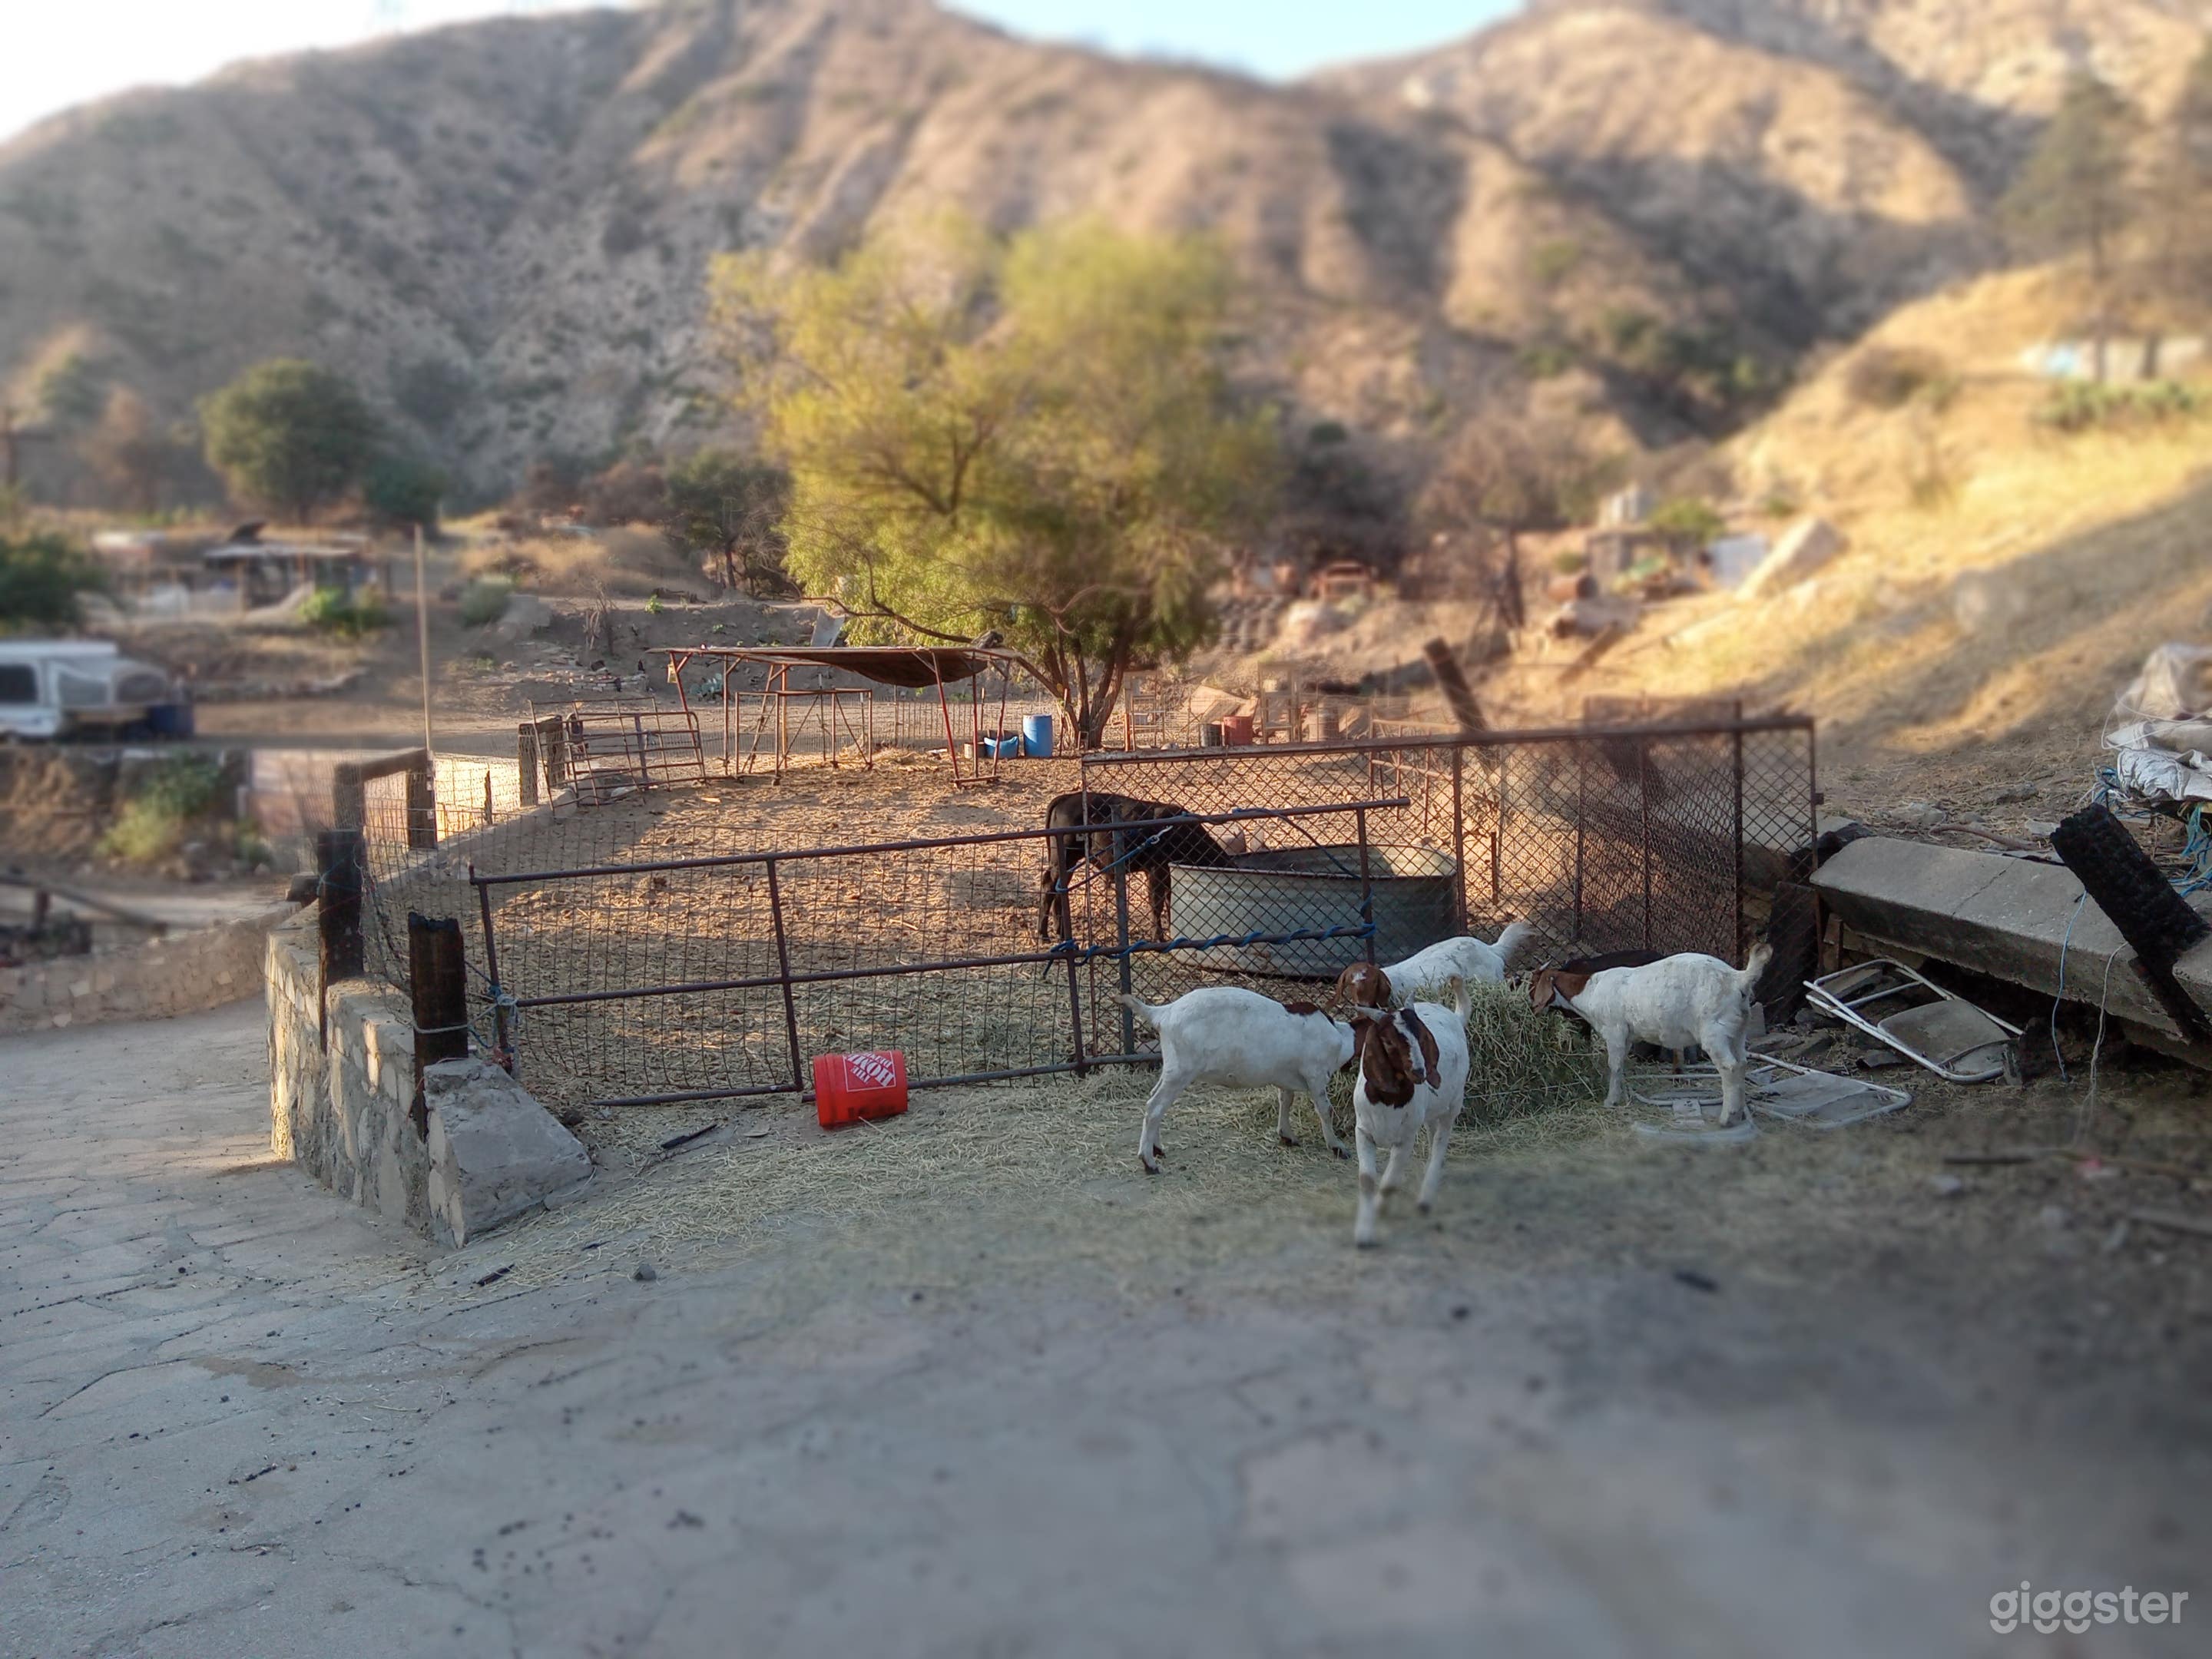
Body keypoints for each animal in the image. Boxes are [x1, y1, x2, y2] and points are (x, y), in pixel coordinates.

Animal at [1038, 791, 1235, 943]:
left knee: (1059, 890)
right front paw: (1159, 937)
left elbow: (1169, 901)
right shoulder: (1157, 870)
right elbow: (1157, 904)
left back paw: (1060, 933)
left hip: (1068, 863)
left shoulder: (1166, 874)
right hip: (1064, 859)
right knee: (1049, 886)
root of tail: (1066, 798)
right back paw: (1043, 935)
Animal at [1119, 988, 1354, 1173]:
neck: (1340, 1038)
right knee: (1155, 1107)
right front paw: (1337, 1147)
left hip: (1171, 1068)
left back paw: (1157, 1149)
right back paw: (1149, 1162)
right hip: (1181, 1071)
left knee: (1155, 1100)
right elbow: (1325, 1110)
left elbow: (1286, 1100)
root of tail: (1164, 1013)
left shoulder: (1286, 1077)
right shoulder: (1316, 1074)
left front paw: (1287, 1136)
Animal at [1347, 977, 1474, 1248]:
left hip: (1454, 1103)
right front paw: (1363, 1233)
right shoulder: (1363, 1132)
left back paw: (1426, 1198)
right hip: (1430, 1113)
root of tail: (1456, 1017)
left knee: (1440, 1142)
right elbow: (1367, 1180)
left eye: (1422, 1036)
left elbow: (1389, 1182)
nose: (1419, 1071)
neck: (1389, 1100)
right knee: (1433, 1134)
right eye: (1388, 1042)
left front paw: (1381, 1208)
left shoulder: (1405, 1138)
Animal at [1549, 945, 1775, 1126]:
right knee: (1742, 1063)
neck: (1590, 991)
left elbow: (1614, 1066)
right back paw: (1739, 1112)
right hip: (1738, 1031)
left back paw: (1727, 1118)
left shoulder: (1615, 1030)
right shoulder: (1626, 1036)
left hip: (1715, 1031)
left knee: (1730, 1067)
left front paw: (1610, 1101)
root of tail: (1739, 979)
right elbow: (1620, 1065)